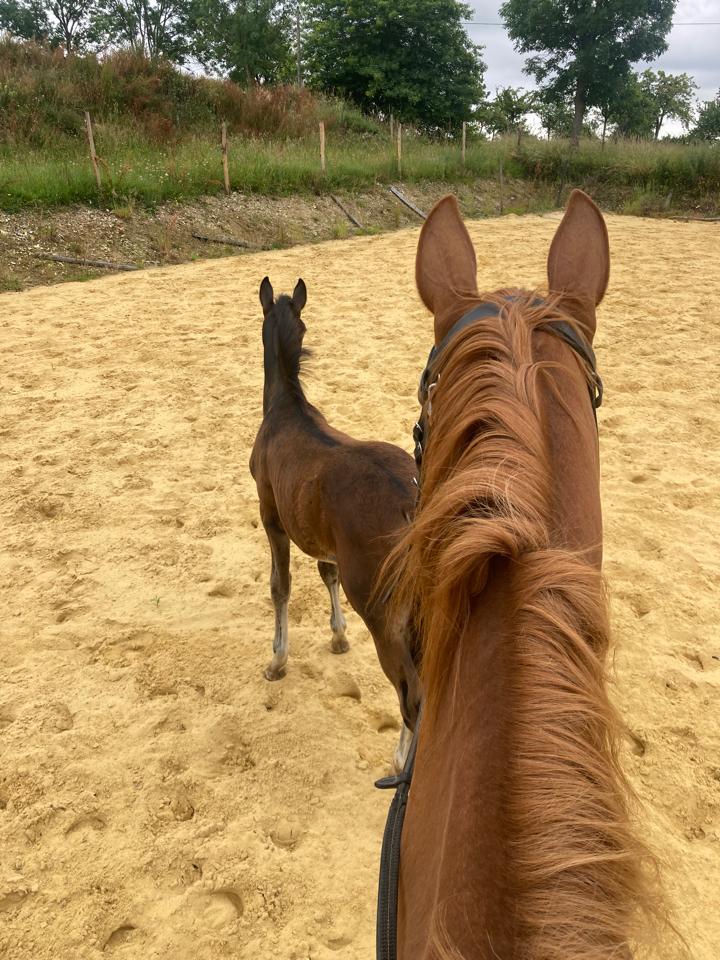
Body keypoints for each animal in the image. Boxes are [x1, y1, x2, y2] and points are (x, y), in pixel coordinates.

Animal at [250, 274, 422, 760]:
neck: (287, 410)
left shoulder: (271, 514)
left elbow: (281, 587)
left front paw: (277, 660)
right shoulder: (320, 533)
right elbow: (328, 575)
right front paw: (339, 637)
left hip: (384, 612)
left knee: (411, 694)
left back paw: (400, 760)